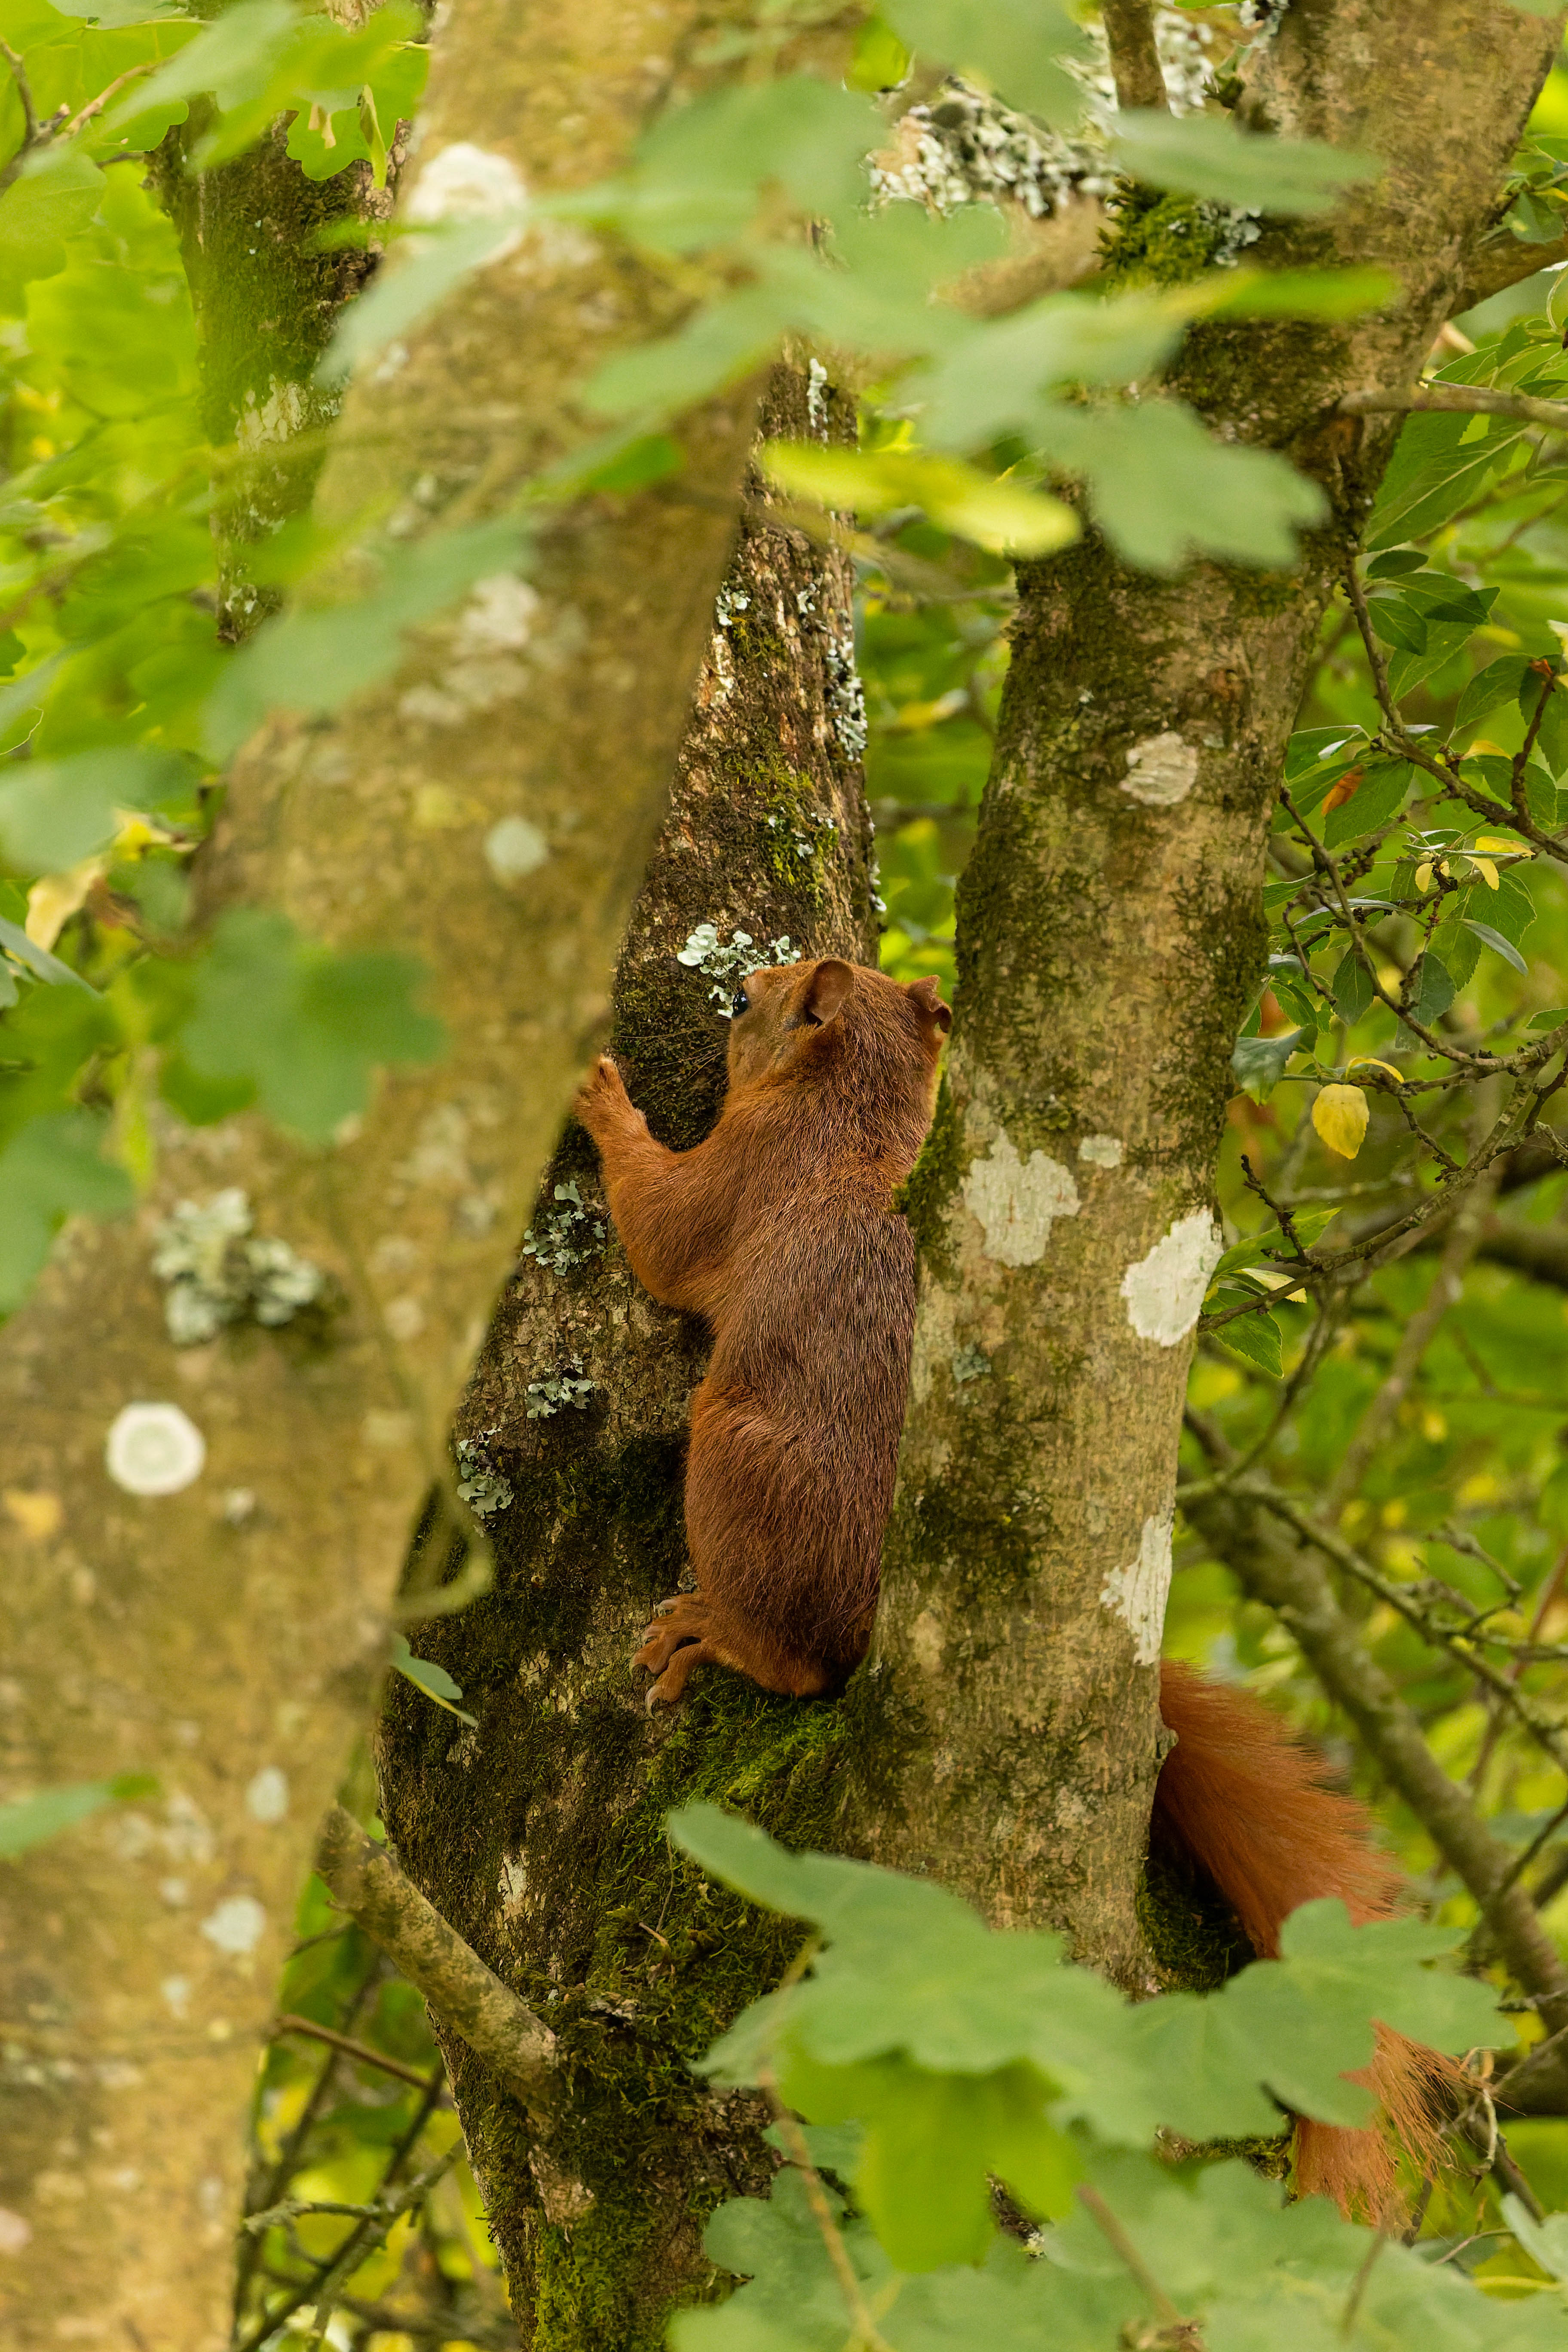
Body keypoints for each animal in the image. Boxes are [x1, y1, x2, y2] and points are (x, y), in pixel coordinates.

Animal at [576, 954, 1450, 2220]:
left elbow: (660, 1226)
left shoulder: (745, 1173)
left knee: (799, 1662)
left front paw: (603, 1104)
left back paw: (721, 1635)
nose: (739, 982)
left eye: (757, 1000)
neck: (860, 1114)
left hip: (736, 1463)